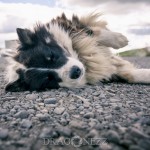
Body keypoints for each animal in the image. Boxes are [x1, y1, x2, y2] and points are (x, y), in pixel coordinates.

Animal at [2, 12, 150, 91]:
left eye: (51, 56)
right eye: (48, 79)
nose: (76, 72)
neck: (83, 58)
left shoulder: (67, 26)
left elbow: (90, 32)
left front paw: (120, 40)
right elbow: (130, 75)